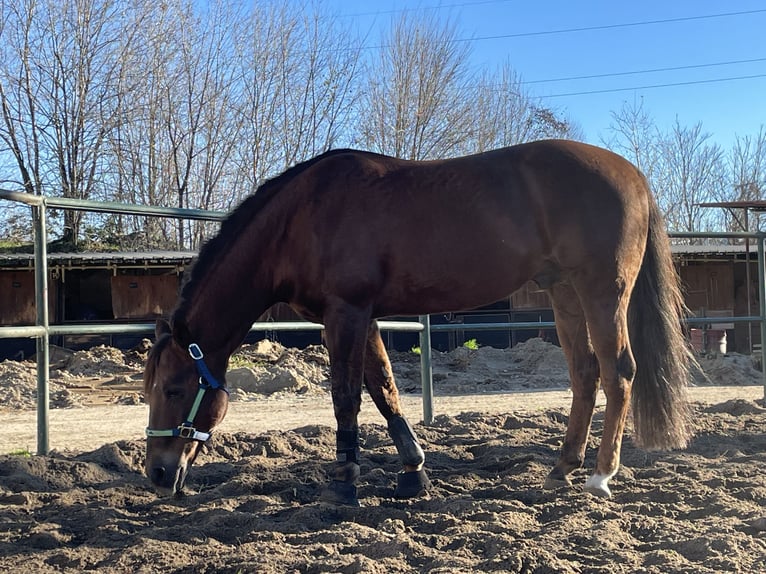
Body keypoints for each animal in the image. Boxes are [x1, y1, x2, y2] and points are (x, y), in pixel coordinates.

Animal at [144, 141, 696, 508]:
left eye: (173, 389)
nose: (157, 473)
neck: (301, 218)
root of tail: (633, 175)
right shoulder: (361, 317)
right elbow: (384, 389)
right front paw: (413, 471)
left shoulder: (346, 313)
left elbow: (346, 396)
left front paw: (345, 480)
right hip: (564, 294)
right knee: (584, 375)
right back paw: (562, 469)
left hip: (602, 291)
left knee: (618, 372)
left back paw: (601, 476)